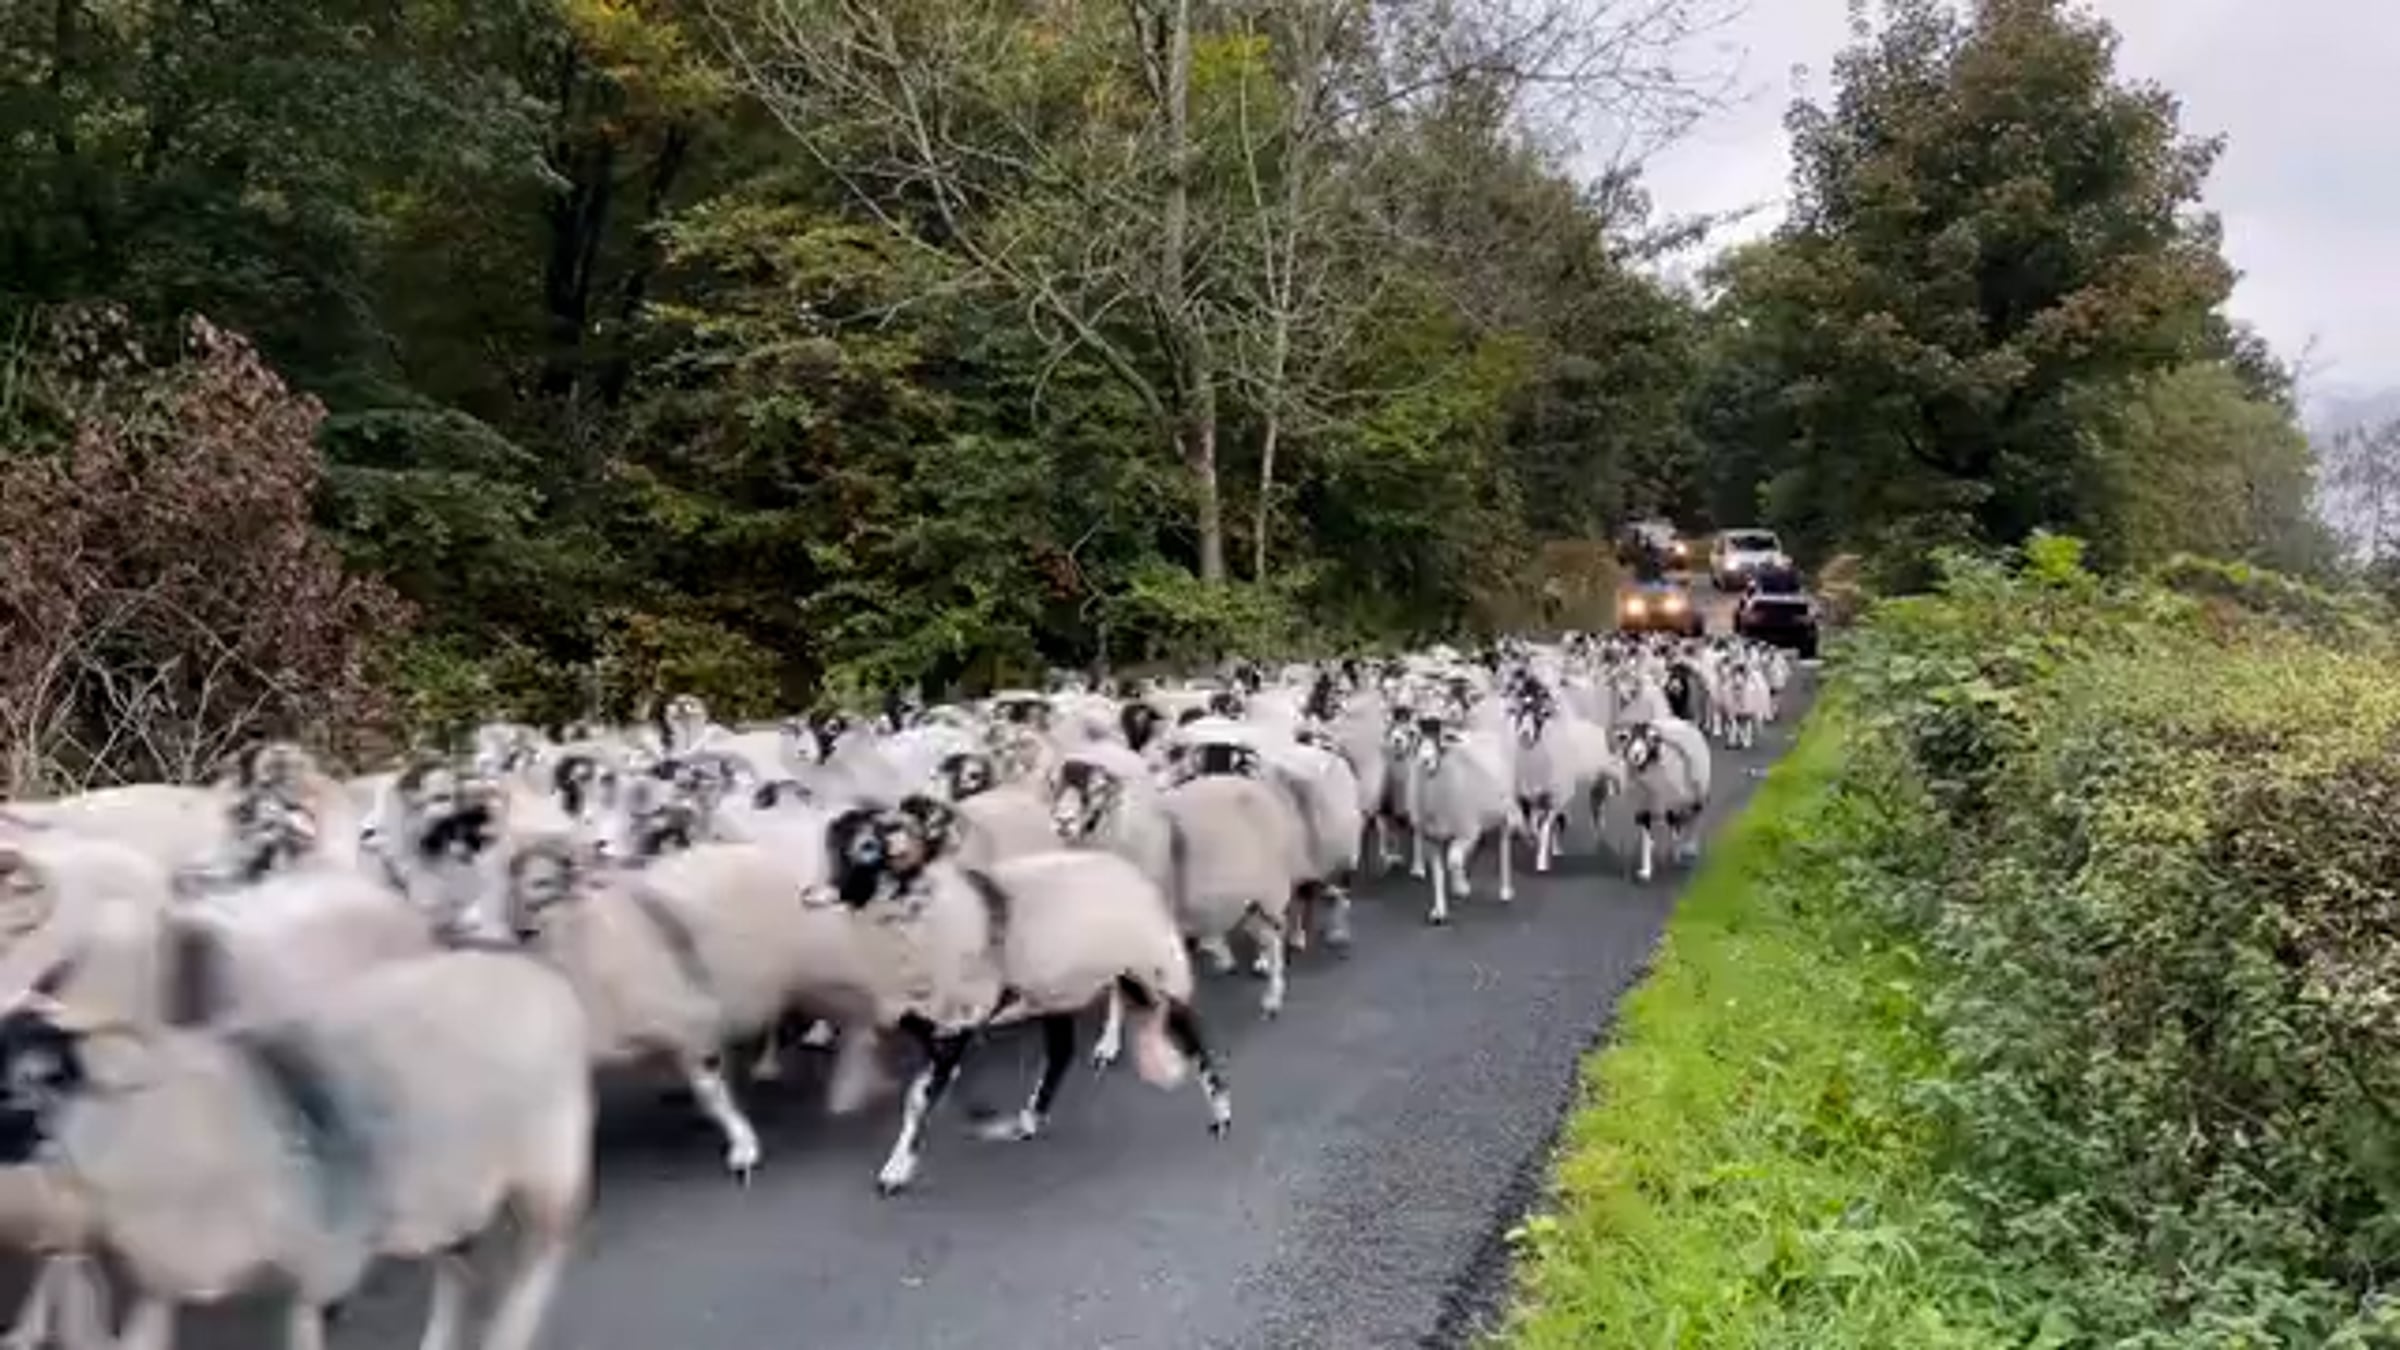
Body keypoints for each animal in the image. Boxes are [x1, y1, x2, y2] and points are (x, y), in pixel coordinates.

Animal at [0, 947, 592, 1350]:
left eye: (34, 1078)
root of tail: (540, 977)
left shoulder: (316, 1276)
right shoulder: (161, 1280)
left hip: (548, 1171)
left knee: (544, 1257)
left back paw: (510, 1334)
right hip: (452, 1194)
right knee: (460, 1274)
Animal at [822, 799, 1229, 1196]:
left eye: (871, 845)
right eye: (835, 844)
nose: (828, 890)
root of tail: (1128, 869)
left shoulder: (959, 1018)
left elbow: (919, 1097)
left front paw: (897, 1169)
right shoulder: (930, 1025)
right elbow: (932, 1088)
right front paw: (978, 1117)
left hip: (1150, 966)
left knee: (1189, 1035)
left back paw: (1220, 1112)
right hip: (1060, 986)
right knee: (1062, 1051)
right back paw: (1030, 1118)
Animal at [1617, 717, 1714, 883]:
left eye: (1650, 738)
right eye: (1630, 738)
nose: (1636, 755)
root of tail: (1682, 721)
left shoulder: (1667, 805)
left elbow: (1671, 833)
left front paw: (1668, 859)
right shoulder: (1644, 808)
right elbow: (1646, 839)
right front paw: (1646, 871)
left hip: (1696, 795)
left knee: (1693, 822)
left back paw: (1689, 848)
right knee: (1679, 825)